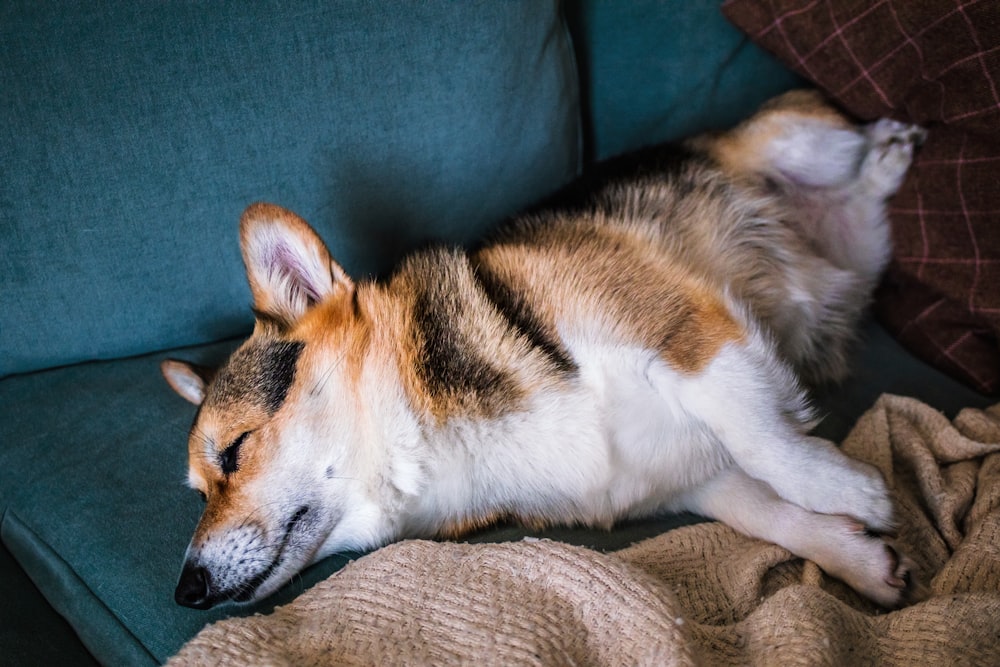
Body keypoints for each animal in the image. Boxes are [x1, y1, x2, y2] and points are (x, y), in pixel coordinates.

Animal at [162, 91, 920, 612]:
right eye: (199, 491)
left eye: (235, 451)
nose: (185, 590)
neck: (443, 453)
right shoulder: (687, 478)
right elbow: (766, 510)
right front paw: (857, 556)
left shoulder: (684, 327)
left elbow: (765, 442)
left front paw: (852, 490)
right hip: (859, 249)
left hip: (793, 139)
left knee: (846, 150)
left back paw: (890, 147)